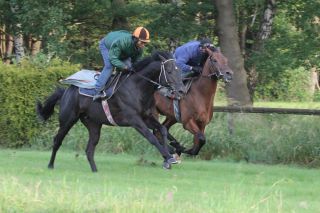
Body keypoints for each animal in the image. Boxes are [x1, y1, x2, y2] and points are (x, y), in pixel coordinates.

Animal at [36, 50, 185, 172]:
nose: (182, 90)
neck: (137, 88)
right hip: (68, 120)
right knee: (57, 140)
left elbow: (162, 130)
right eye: (170, 71)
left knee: (89, 149)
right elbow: (151, 137)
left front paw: (169, 156)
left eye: (179, 71)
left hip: (93, 124)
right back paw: (50, 165)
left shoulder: (147, 117)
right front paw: (168, 156)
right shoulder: (134, 120)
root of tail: (66, 91)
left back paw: (95, 170)